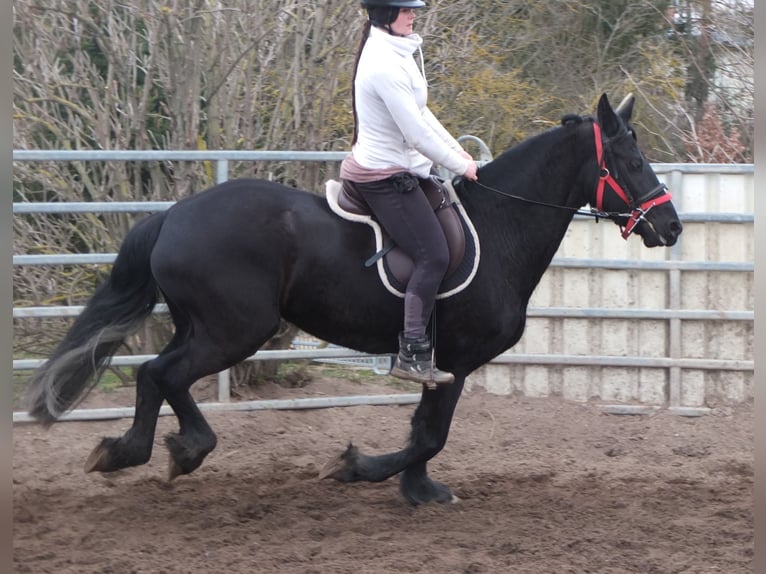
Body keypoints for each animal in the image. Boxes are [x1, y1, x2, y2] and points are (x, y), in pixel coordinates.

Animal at [25, 93, 684, 504]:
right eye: (630, 159)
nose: (671, 226)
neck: (499, 228)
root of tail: (173, 215)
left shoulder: (442, 363)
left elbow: (425, 430)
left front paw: (414, 488)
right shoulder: (457, 359)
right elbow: (429, 434)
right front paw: (359, 470)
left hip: (206, 327)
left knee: (155, 374)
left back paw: (144, 450)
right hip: (234, 330)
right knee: (162, 374)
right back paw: (164, 451)